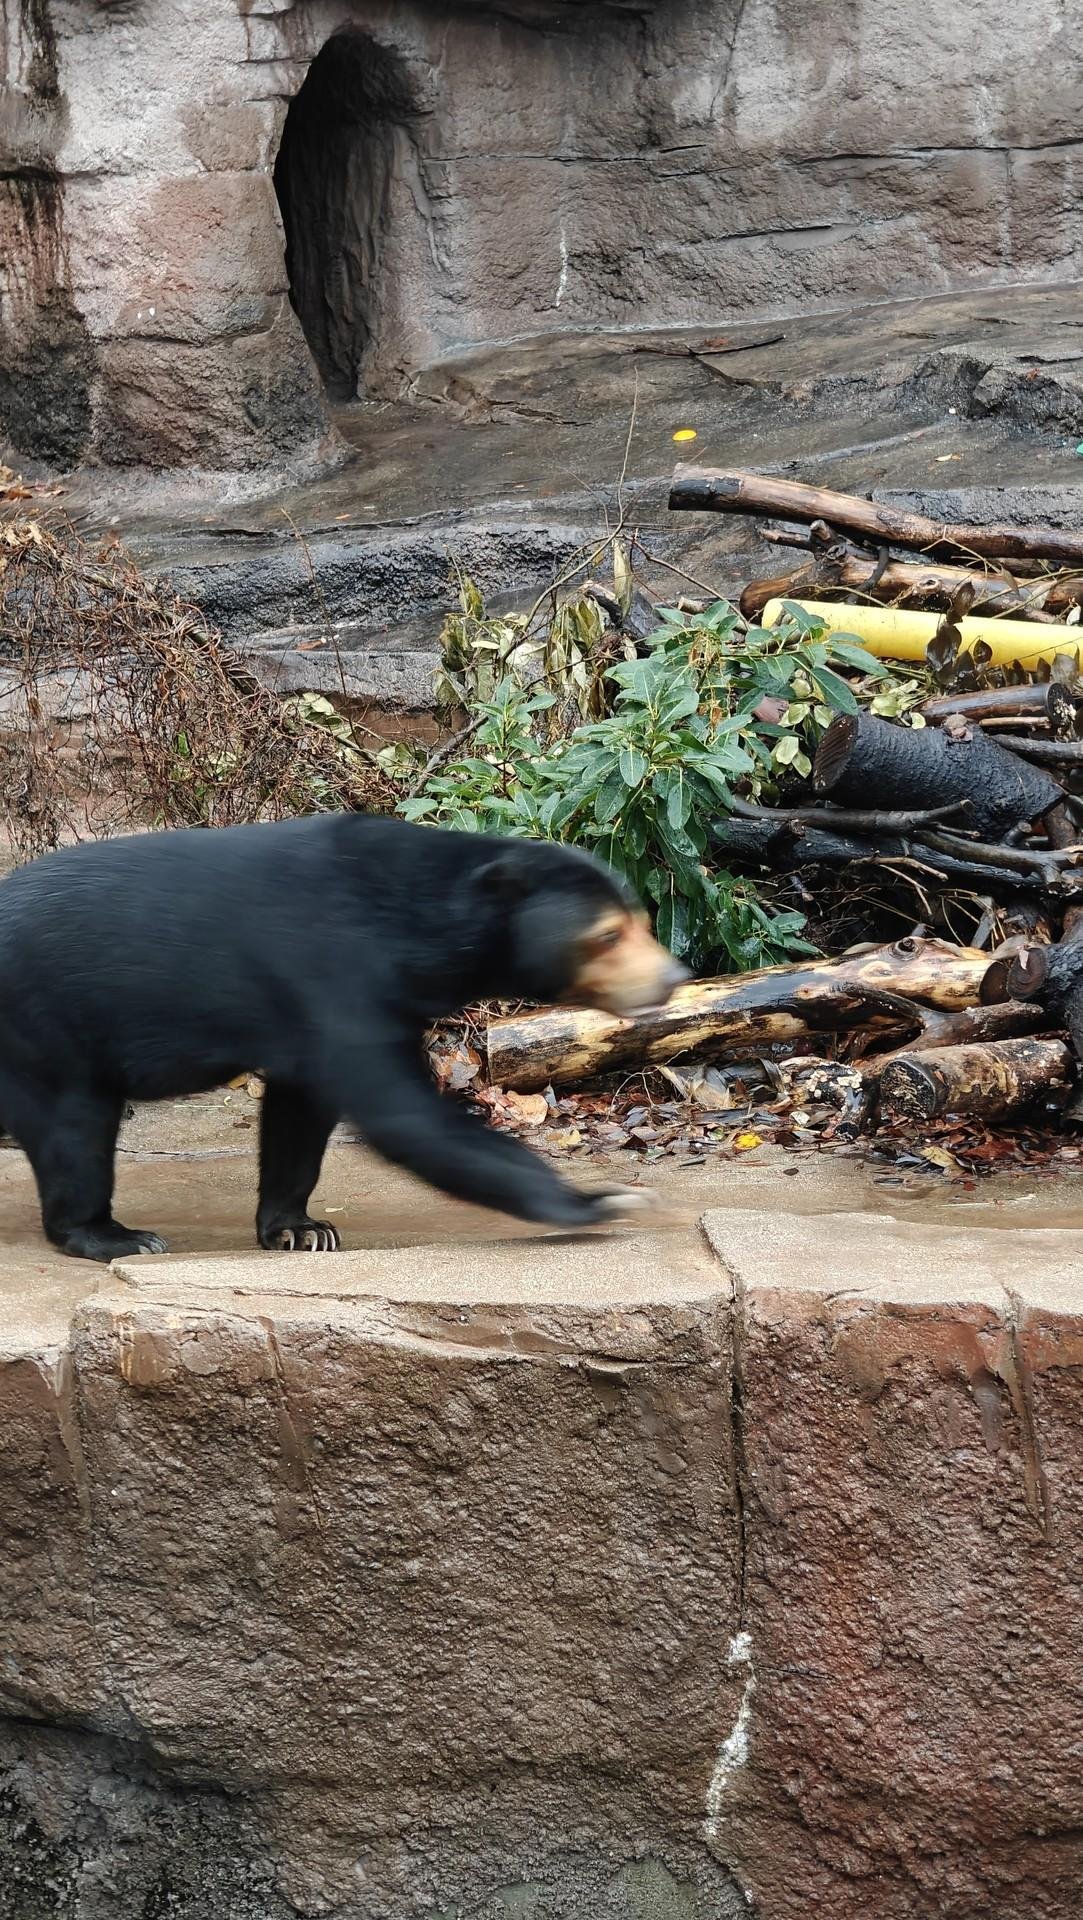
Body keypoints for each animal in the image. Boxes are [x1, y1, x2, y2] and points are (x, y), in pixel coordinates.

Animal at [0, 813, 688, 1261]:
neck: (421, 924)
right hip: (44, 1021)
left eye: (642, 921)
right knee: (74, 1129)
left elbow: (300, 1114)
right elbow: (402, 1114)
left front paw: (300, 1229)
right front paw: (607, 1201)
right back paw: (116, 1236)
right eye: (606, 935)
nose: (674, 978)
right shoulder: (335, 967)